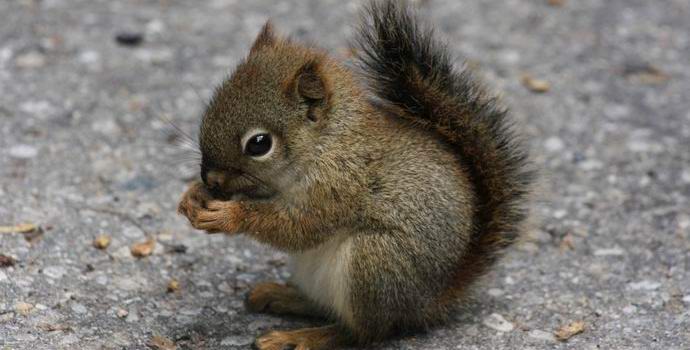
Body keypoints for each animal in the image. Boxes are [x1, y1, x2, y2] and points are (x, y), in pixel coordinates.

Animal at [177, 1, 532, 348]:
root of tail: (429, 302)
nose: (211, 179)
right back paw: (281, 296)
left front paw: (229, 216)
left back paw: (308, 337)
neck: (327, 142)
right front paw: (193, 196)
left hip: (374, 263)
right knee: (325, 307)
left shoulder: (339, 185)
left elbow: (299, 227)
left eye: (259, 144)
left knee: (364, 332)